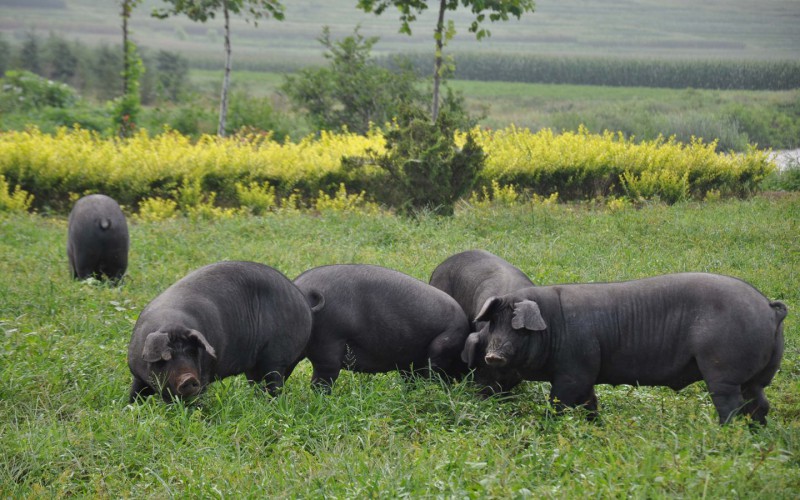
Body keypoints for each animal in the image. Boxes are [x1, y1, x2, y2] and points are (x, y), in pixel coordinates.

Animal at [126, 262, 310, 402]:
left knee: (273, 383)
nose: (189, 378)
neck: (171, 323)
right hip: (255, 366)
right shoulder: (137, 374)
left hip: (277, 358)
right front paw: (132, 407)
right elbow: (136, 392)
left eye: (192, 352)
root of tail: (303, 301)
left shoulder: (204, 374)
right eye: (166, 358)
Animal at [476, 272, 788, 424]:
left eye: (518, 328)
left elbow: (558, 403)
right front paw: (596, 428)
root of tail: (769, 307)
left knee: (731, 406)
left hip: (723, 370)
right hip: (757, 376)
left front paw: (546, 427)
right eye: (494, 324)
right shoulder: (586, 373)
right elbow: (590, 403)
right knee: (760, 403)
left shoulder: (574, 371)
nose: (492, 355)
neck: (554, 325)